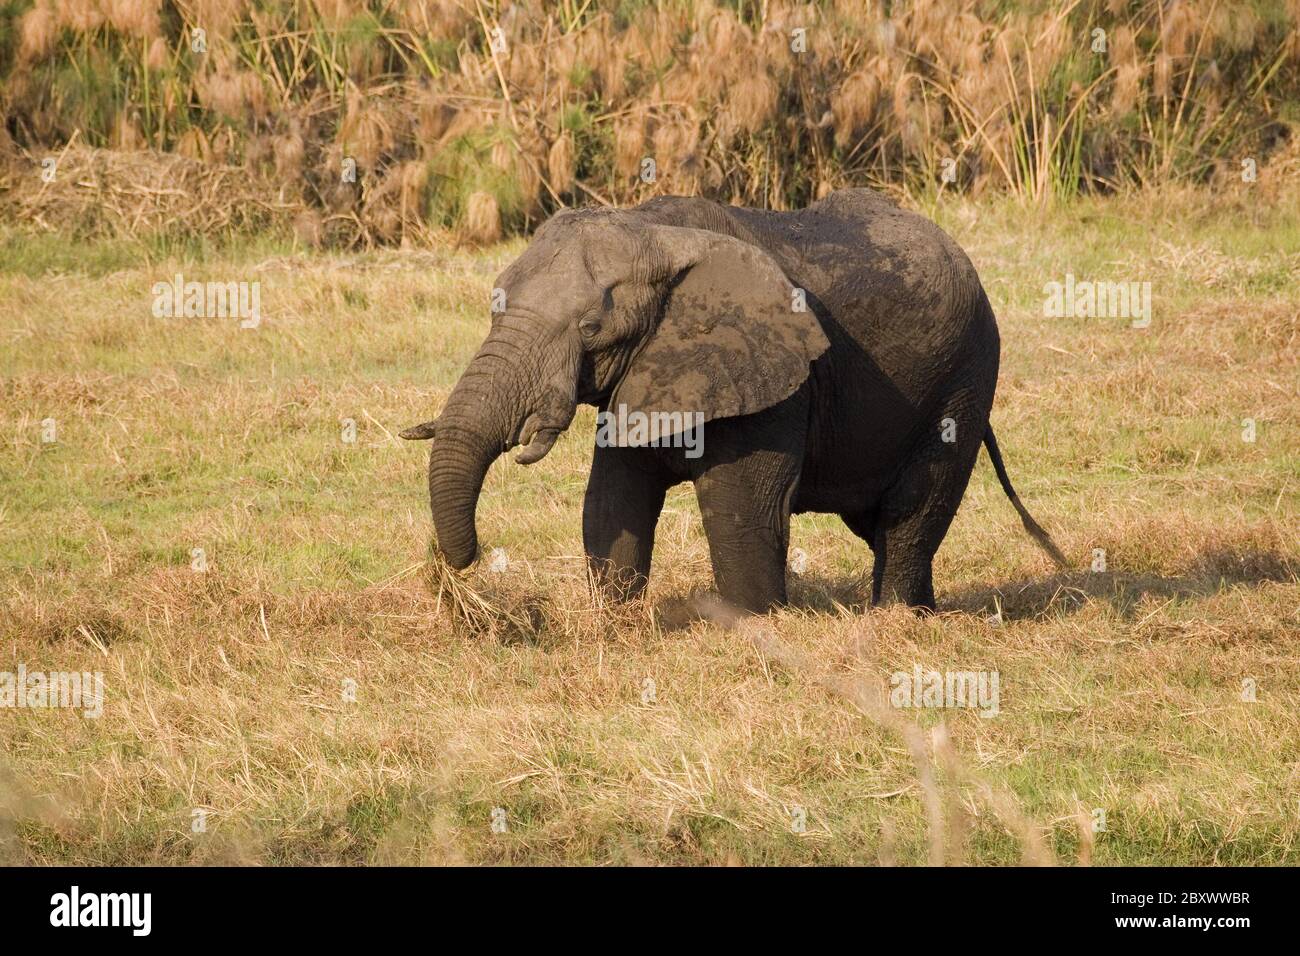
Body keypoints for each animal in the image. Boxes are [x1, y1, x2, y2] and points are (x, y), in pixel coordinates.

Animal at [403, 188, 1066, 613]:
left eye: (591, 330)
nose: (460, 565)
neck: (652, 230)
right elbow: (613, 499)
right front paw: (615, 625)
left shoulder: (773, 375)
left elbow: (741, 511)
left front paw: (754, 628)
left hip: (965, 376)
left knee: (912, 511)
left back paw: (896, 620)